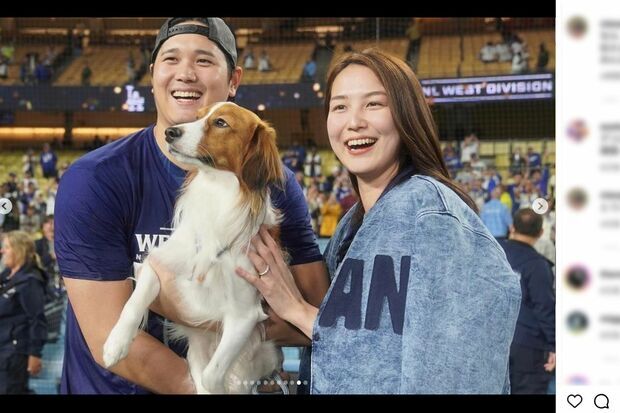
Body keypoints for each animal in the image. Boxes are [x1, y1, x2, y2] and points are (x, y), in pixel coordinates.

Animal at [102, 100, 286, 392]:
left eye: (221, 123)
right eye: (196, 116)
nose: (171, 132)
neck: (217, 191)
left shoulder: (244, 316)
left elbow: (213, 376)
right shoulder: (159, 263)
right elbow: (134, 302)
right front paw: (116, 343)